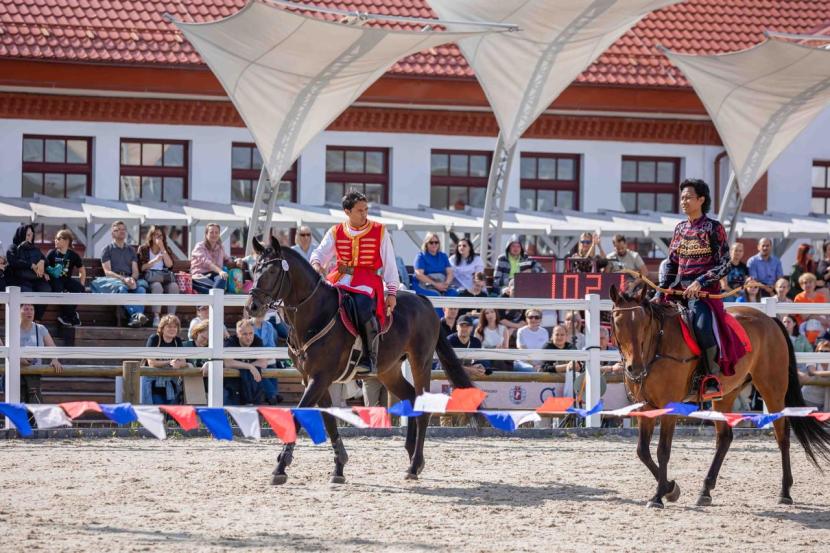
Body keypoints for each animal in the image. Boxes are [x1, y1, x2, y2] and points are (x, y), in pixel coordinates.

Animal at [247, 236, 474, 484]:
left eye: (272, 270)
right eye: (254, 269)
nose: (252, 307)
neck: (315, 313)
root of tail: (424, 301)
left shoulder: (320, 378)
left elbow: (300, 415)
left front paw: (281, 466)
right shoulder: (313, 379)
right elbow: (328, 419)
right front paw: (339, 466)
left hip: (420, 362)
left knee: (422, 407)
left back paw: (414, 465)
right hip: (389, 370)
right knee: (411, 397)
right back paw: (413, 456)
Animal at [608, 286, 830, 506]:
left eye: (643, 323)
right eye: (618, 322)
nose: (635, 367)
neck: (656, 347)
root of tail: (770, 320)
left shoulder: (670, 407)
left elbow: (663, 450)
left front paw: (658, 496)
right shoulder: (645, 407)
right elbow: (643, 451)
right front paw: (670, 489)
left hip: (772, 390)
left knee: (782, 435)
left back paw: (785, 492)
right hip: (726, 395)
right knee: (724, 438)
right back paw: (705, 491)